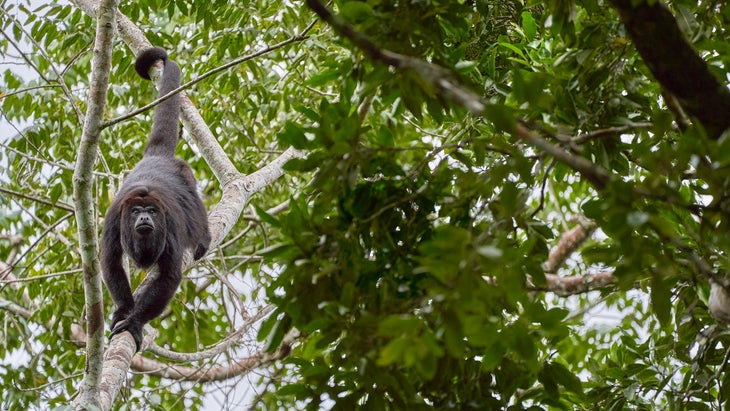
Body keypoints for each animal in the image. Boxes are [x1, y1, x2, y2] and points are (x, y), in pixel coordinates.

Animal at [99, 47, 210, 350]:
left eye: (150, 210)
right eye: (136, 211)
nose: (145, 217)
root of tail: (157, 157)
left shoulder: (170, 227)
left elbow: (169, 276)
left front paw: (135, 321)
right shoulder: (113, 221)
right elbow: (111, 263)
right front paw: (124, 310)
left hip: (186, 174)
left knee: (197, 206)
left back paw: (205, 237)